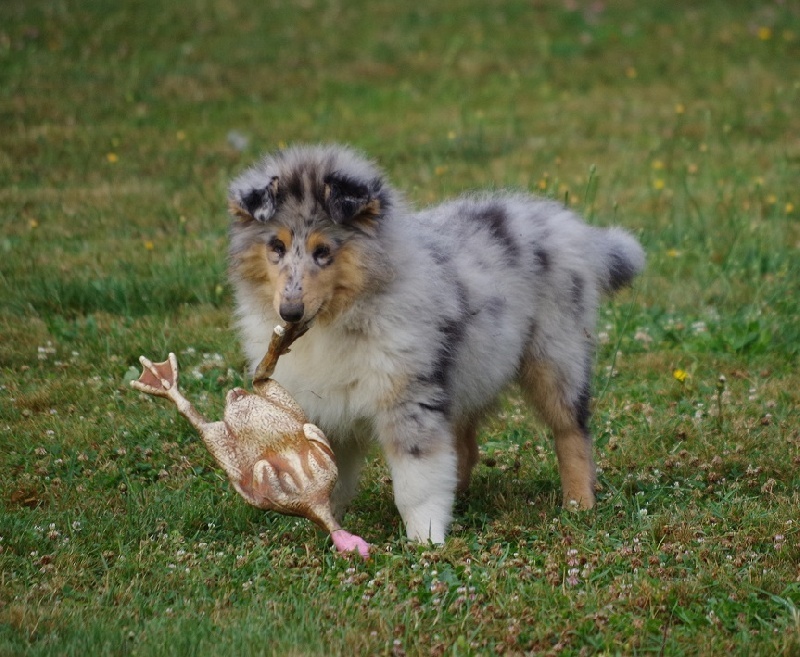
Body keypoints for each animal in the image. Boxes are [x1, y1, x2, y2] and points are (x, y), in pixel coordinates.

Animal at [225, 145, 644, 544]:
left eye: (323, 251)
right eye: (276, 247)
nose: (290, 312)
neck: (339, 319)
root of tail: (568, 226)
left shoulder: (409, 396)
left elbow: (417, 478)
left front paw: (426, 537)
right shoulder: (322, 406)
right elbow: (330, 476)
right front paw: (322, 526)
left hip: (555, 356)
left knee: (572, 430)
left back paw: (578, 503)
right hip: (474, 366)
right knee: (466, 446)